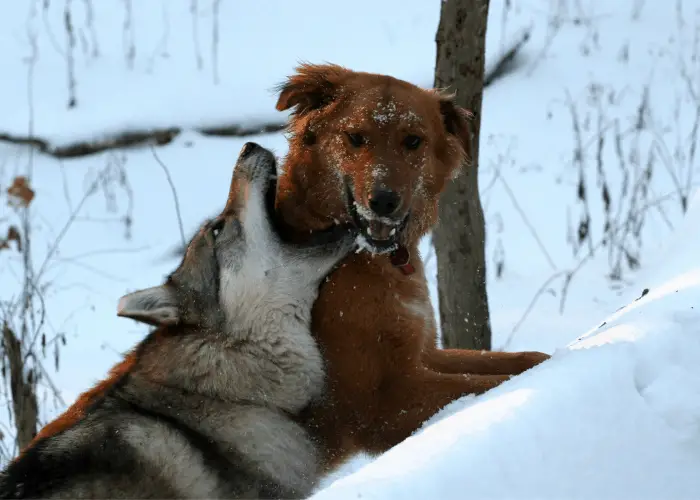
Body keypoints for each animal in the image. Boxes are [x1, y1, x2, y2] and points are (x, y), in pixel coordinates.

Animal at [274, 63, 552, 472]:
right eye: (355, 137)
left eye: (413, 141)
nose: (384, 200)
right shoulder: (380, 401)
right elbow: (482, 383)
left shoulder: (421, 353)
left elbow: (514, 360)